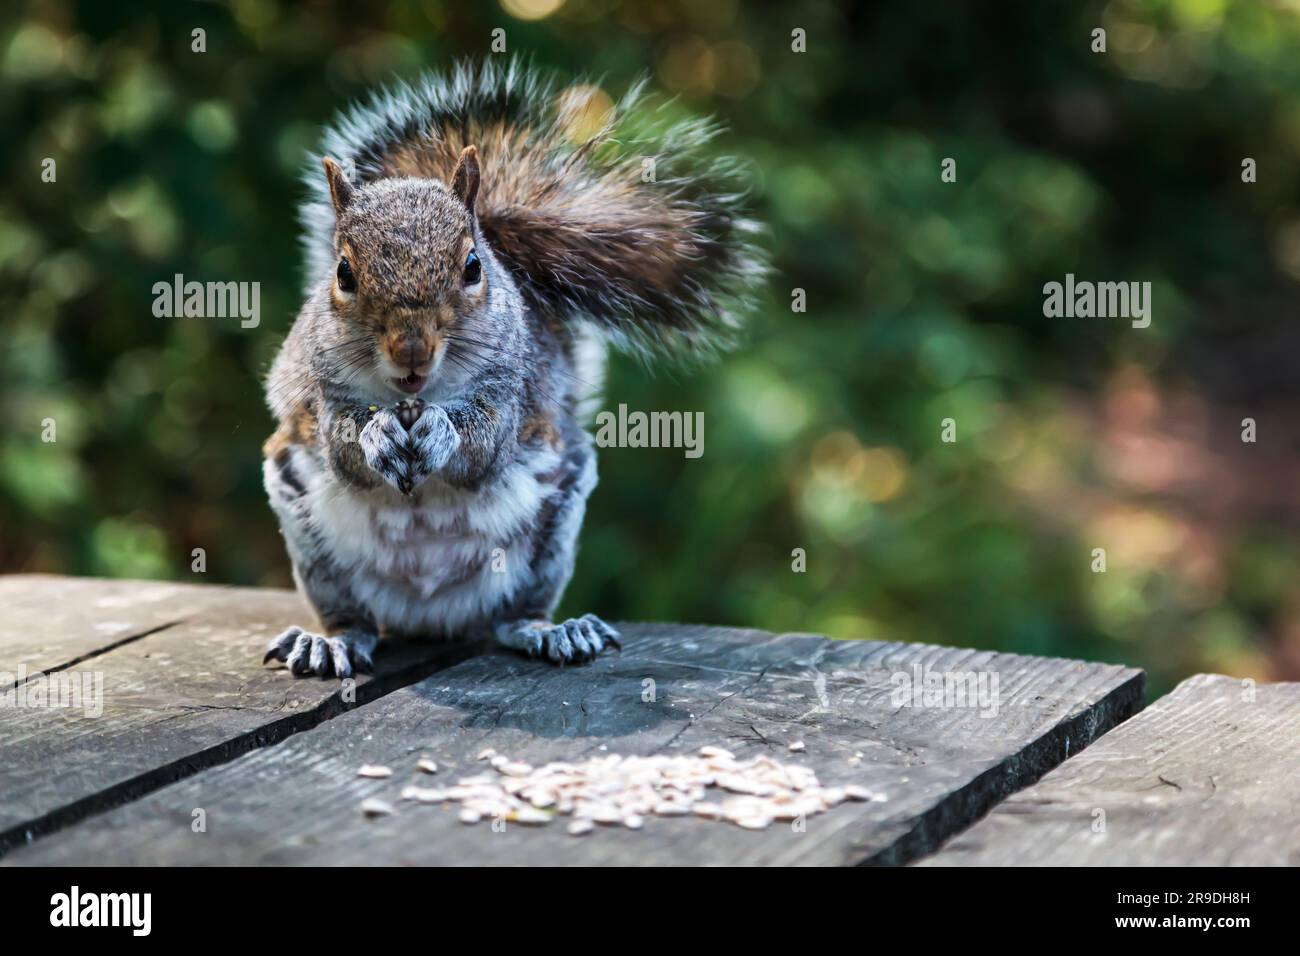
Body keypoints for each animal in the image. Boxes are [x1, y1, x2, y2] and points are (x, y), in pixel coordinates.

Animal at [260, 58, 766, 678]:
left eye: (473, 267)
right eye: (343, 273)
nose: (411, 349)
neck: (414, 397)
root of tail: (429, 615)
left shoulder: (511, 388)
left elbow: (484, 448)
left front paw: (440, 431)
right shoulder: (323, 390)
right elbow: (343, 449)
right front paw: (378, 434)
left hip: (550, 532)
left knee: (509, 619)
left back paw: (553, 631)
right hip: (311, 535)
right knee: (353, 620)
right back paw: (329, 641)